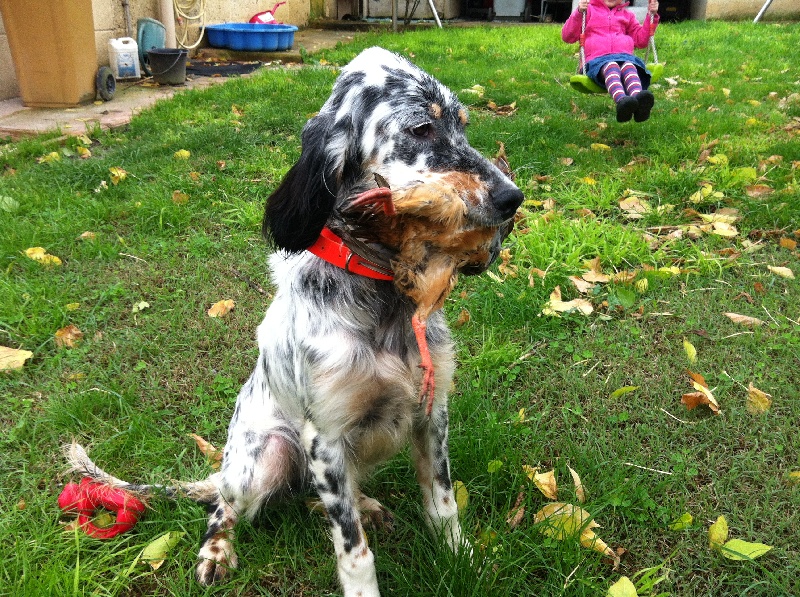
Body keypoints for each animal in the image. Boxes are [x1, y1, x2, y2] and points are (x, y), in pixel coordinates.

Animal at [69, 47, 524, 596]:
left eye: (462, 124)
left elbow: (442, 501)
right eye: (421, 128)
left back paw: (368, 506)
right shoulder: (323, 436)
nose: (514, 199)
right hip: (263, 458)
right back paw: (216, 551)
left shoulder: (430, 414)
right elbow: (352, 547)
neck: (382, 296)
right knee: (224, 506)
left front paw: (462, 557)